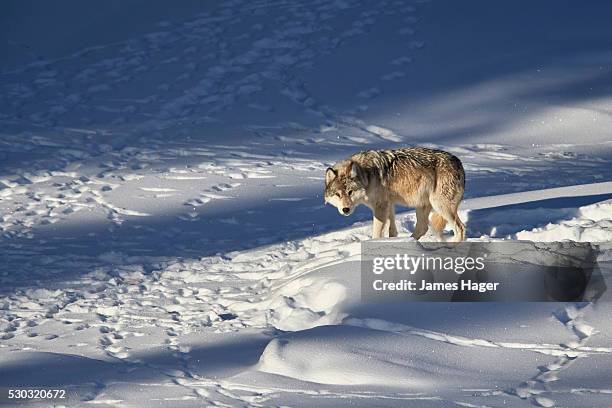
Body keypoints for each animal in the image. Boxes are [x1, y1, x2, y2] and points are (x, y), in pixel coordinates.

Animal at [326, 147, 464, 241]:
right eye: (338, 194)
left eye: (350, 192)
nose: (345, 209)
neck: (367, 175)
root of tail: (459, 162)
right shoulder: (389, 205)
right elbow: (392, 230)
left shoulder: (380, 207)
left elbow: (377, 233)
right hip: (422, 206)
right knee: (422, 228)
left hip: (441, 206)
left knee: (460, 228)